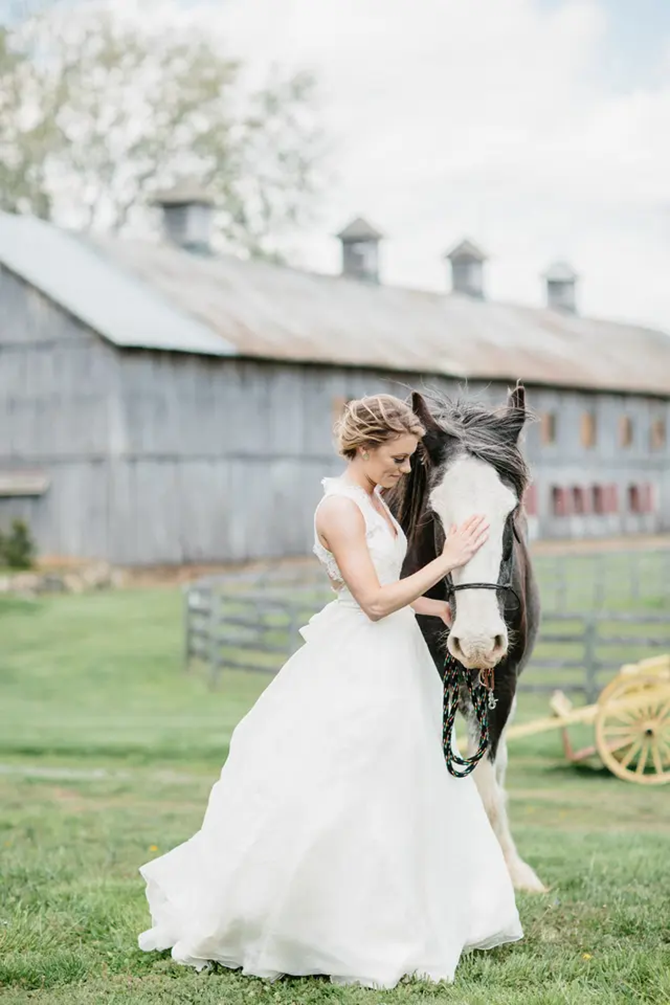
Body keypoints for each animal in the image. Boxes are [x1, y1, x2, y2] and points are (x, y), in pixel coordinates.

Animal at [385, 383, 546, 896]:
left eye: (511, 511)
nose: (476, 640)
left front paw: (508, 874)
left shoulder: (504, 681)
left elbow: (489, 786)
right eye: (436, 513)